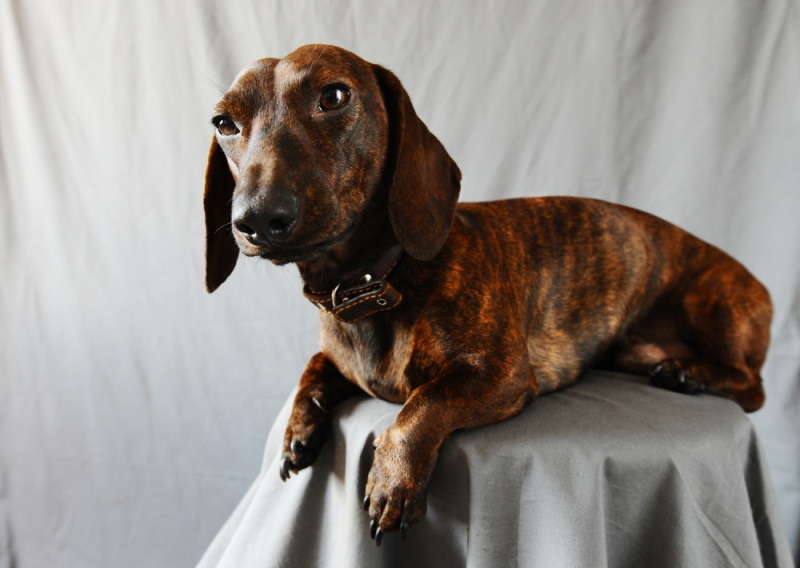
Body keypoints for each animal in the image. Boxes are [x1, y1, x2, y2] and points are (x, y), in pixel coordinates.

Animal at [203, 43, 772, 540]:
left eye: (334, 96)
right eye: (224, 123)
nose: (256, 218)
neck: (377, 283)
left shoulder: (501, 375)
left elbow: (421, 406)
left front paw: (393, 480)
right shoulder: (340, 356)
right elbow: (314, 367)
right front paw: (300, 426)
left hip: (712, 301)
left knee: (753, 388)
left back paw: (689, 374)